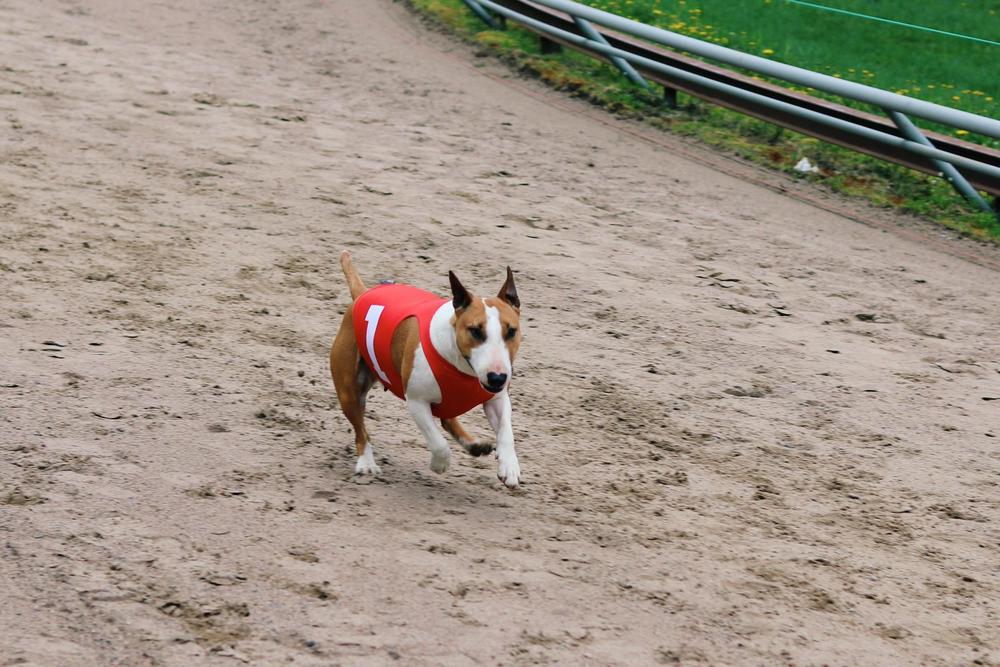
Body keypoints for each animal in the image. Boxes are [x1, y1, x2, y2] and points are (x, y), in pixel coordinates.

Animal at [330, 251, 523, 487]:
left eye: (511, 331)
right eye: (475, 331)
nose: (497, 378)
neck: (462, 367)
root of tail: (362, 293)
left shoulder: (497, 399)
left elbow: (506, 432)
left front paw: (509, 467)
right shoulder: (417, 402)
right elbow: (438, 443)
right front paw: (439, 464)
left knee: (448, 419)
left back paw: (474, 444)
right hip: (349, 392)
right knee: (361, 431)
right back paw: (366, 463)